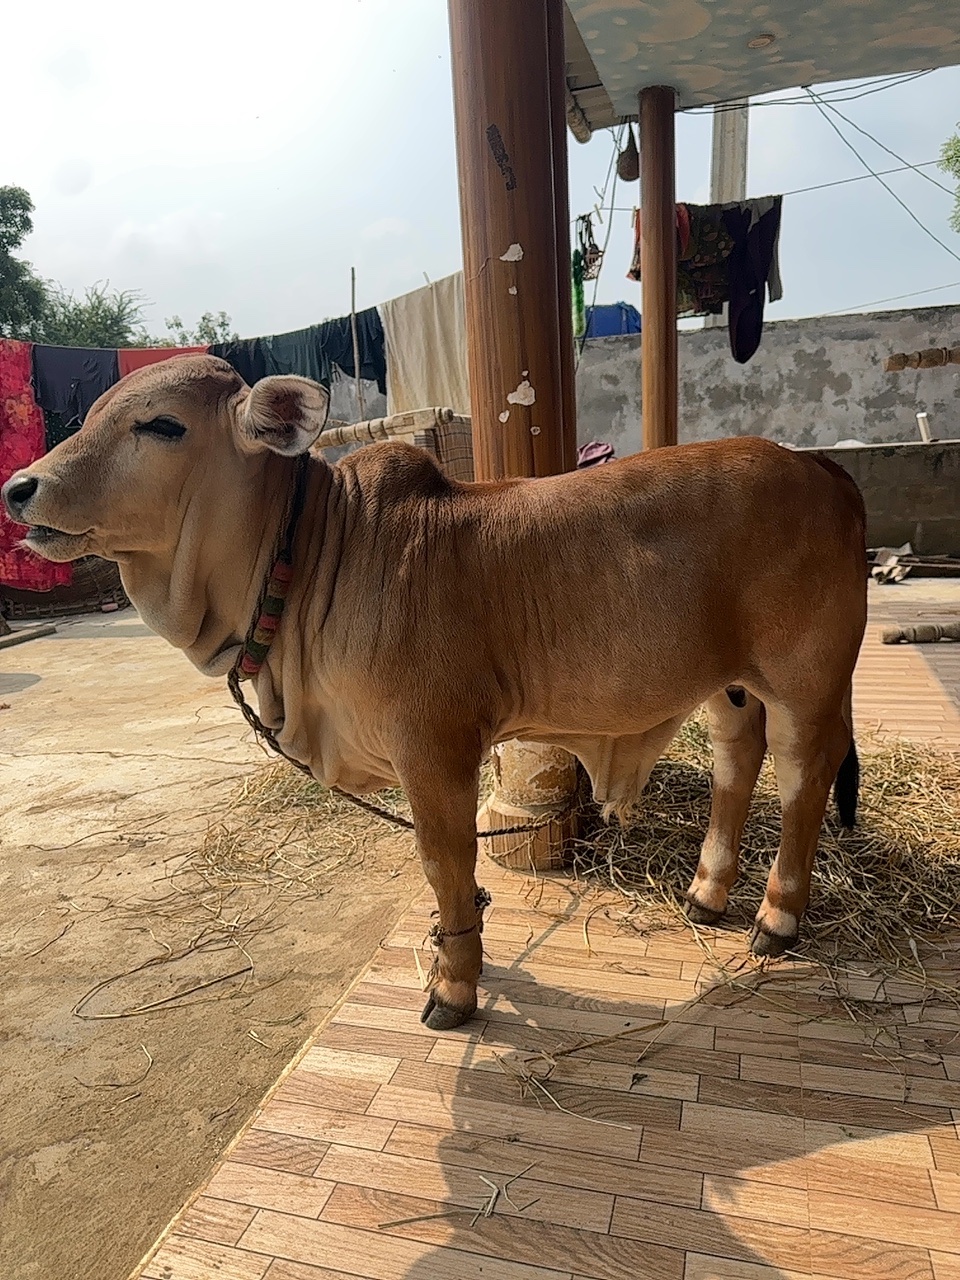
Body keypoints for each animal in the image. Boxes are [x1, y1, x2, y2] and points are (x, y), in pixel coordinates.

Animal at [2, 355, 867, 1030]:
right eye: (92, 416)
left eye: (162, 425)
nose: (19, 489)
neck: (313, 554)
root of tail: (819, 467)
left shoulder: (433, 747)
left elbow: (445, 865)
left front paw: (454, 985)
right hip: (728, 684)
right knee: (737, 760)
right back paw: (707, 894)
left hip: (807, 680)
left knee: (805, 775)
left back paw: (776, 917)